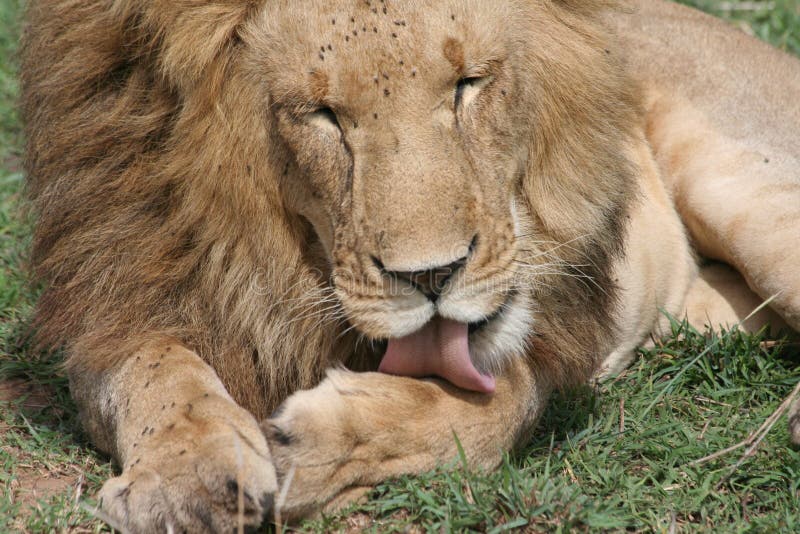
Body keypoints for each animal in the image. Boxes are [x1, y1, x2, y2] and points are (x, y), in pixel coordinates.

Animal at [20, 0, 799, 530]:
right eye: (324, 114)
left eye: (468, 84)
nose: (431, 276)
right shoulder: (119, 298)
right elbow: (159, 373)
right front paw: (191, 476)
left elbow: (491, 410)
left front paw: (313, 447)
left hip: (736, 182)